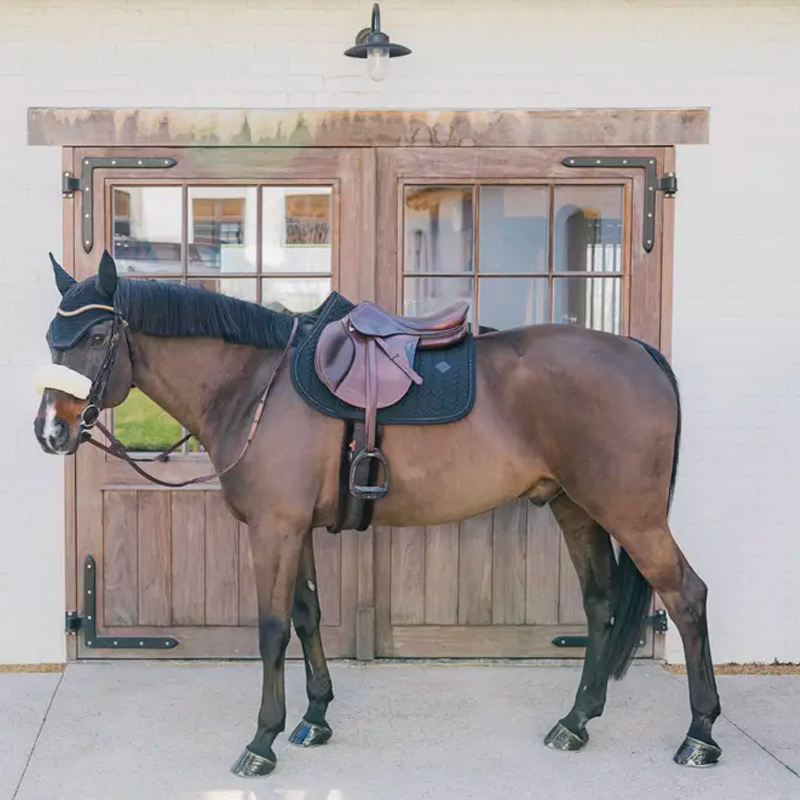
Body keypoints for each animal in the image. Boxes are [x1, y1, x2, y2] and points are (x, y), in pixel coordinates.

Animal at [33, 250, 722, 777]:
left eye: (97, 337)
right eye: (50, 340)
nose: (49, 431)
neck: (254, 385)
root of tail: (638, 350)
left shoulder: (274, 531)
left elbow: (272, 630)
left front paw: (262, 741)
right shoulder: (296, 530)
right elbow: (308, 616)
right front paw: (314, 719)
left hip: (633, 516)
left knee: (687, 596)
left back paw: (700, 734)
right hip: (575, 507)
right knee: (601, 605)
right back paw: (576, 723)